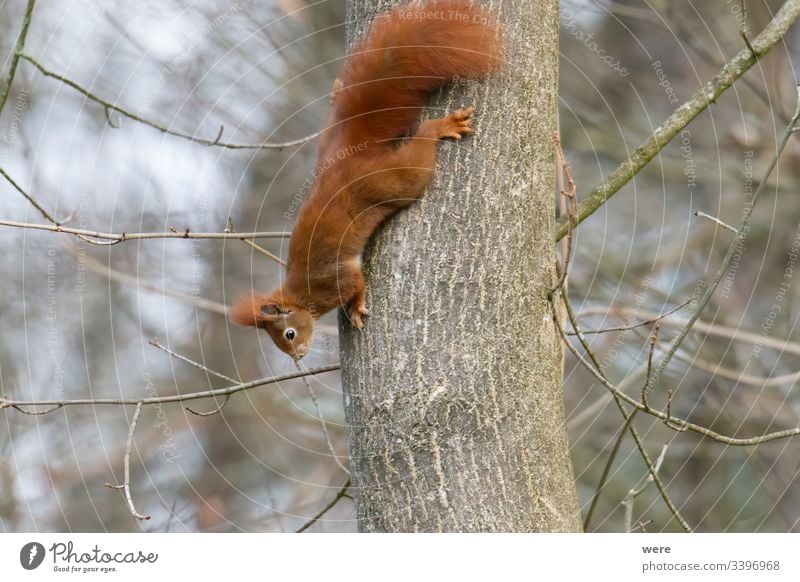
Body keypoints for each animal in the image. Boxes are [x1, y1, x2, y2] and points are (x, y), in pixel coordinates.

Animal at [231, 2, 504, 360]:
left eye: (288, 334)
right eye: (279, 341)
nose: (298, 357)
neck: (300, 296)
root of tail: (347, 155)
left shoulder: (334, 280)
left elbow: (356, 285)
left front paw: (357, 307)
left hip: (394, 181)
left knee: (416, 159)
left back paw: (440, 126)